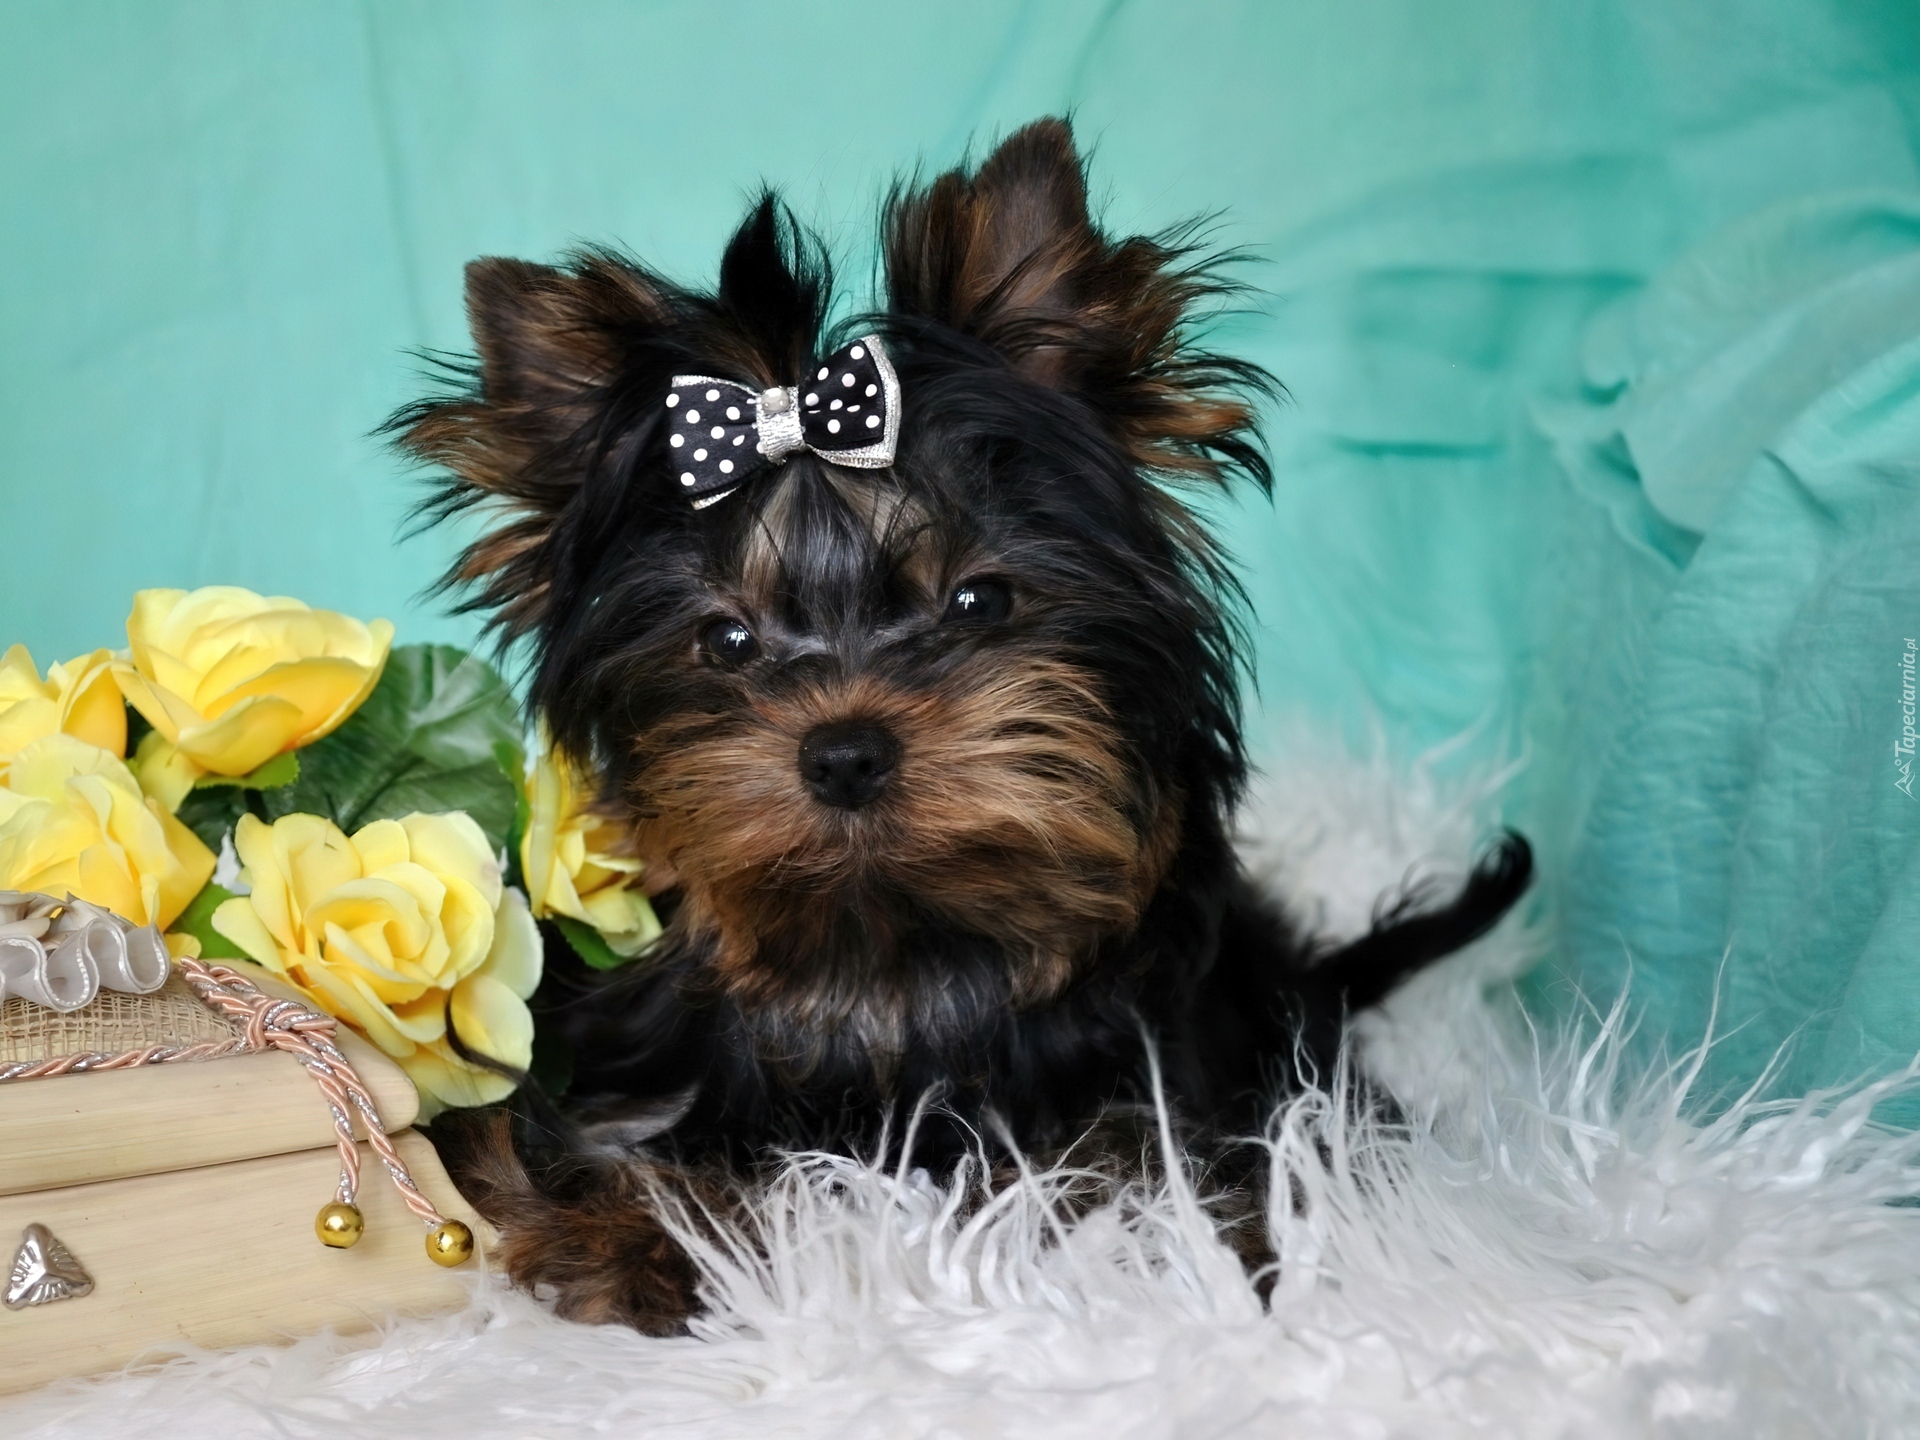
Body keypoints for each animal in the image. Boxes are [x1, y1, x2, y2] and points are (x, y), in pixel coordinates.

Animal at [395, 117, 1531, 1332]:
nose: (844, 752)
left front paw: (1221, 1253)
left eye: (980, 600)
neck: (894, 959)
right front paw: (659, 1239)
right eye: (726, 641)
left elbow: (1156, 1159)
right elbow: (536, 1152)